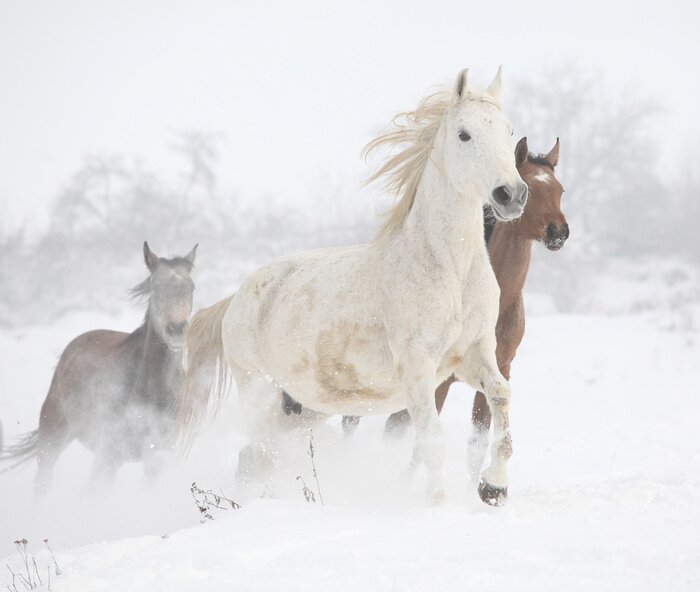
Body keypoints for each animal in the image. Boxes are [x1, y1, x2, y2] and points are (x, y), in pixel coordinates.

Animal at [0, 242, 197, 494]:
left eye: (190, 287)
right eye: (155, 286)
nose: (177, 330)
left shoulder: (157, 459)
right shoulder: (108, 455)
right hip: (54, 435)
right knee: (44, 482)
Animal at [178, 67, 528, 505]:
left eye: (509, 130)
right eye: (464, 134)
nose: (511, 194)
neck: (450, 271)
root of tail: (237, 298)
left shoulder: (474, 354)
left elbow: (501, 397)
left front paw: (494, 487)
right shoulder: (417, 368)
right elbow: (431, 442)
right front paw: (438, 506)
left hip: (304, 407)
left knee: (254, 459)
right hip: (259, 392)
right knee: (257, 457)